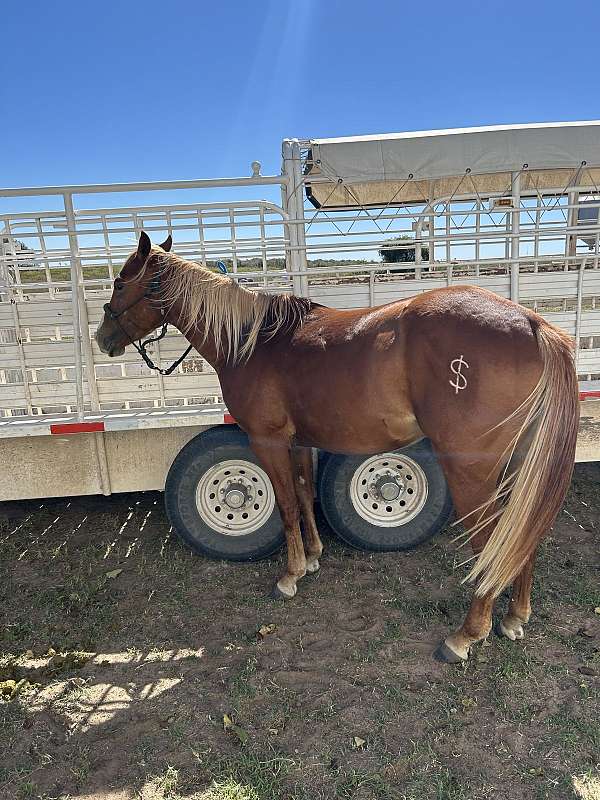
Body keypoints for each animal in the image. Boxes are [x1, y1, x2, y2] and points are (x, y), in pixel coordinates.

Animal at [96, 233, 580, 664]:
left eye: (120, 283)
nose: (102, 337)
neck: (254, 341)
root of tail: (533, 324)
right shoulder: (297, 442)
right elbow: (304, 495)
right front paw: (311, 558)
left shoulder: (267, 440)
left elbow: (287, 505)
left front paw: (289, 576)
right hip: (520, 465)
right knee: (522, 533)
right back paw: (515, 616)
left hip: (472, 472)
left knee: (492, 541)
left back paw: (465, 635)